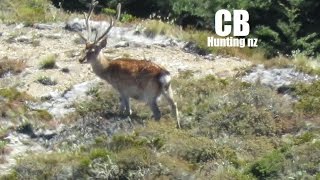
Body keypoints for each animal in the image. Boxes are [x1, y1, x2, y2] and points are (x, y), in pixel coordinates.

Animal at [75, 0, 180, 129]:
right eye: (84, 48)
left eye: (93, 51)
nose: (81, 59)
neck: (108, 71)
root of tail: (164, 75)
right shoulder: (125, 92)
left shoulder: (122, 89)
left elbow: (126, 110)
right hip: (168, 90)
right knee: (174, 105)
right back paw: (178, 127)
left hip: (149, 94)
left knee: (158, 113)